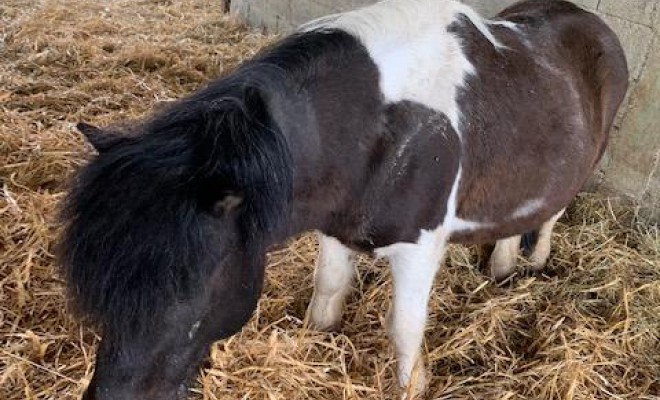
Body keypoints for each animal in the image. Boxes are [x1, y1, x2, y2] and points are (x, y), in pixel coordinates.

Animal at [59, 0, 628, 398]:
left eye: (189, 288)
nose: (112, 396)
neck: (377, 130)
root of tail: (588, 21)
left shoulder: (420, 247)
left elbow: (404, 329)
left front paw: (413, 386)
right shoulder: (337, 228)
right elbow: (327, 296)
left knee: (551, 212)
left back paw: (533, 260)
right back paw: (503, 267)